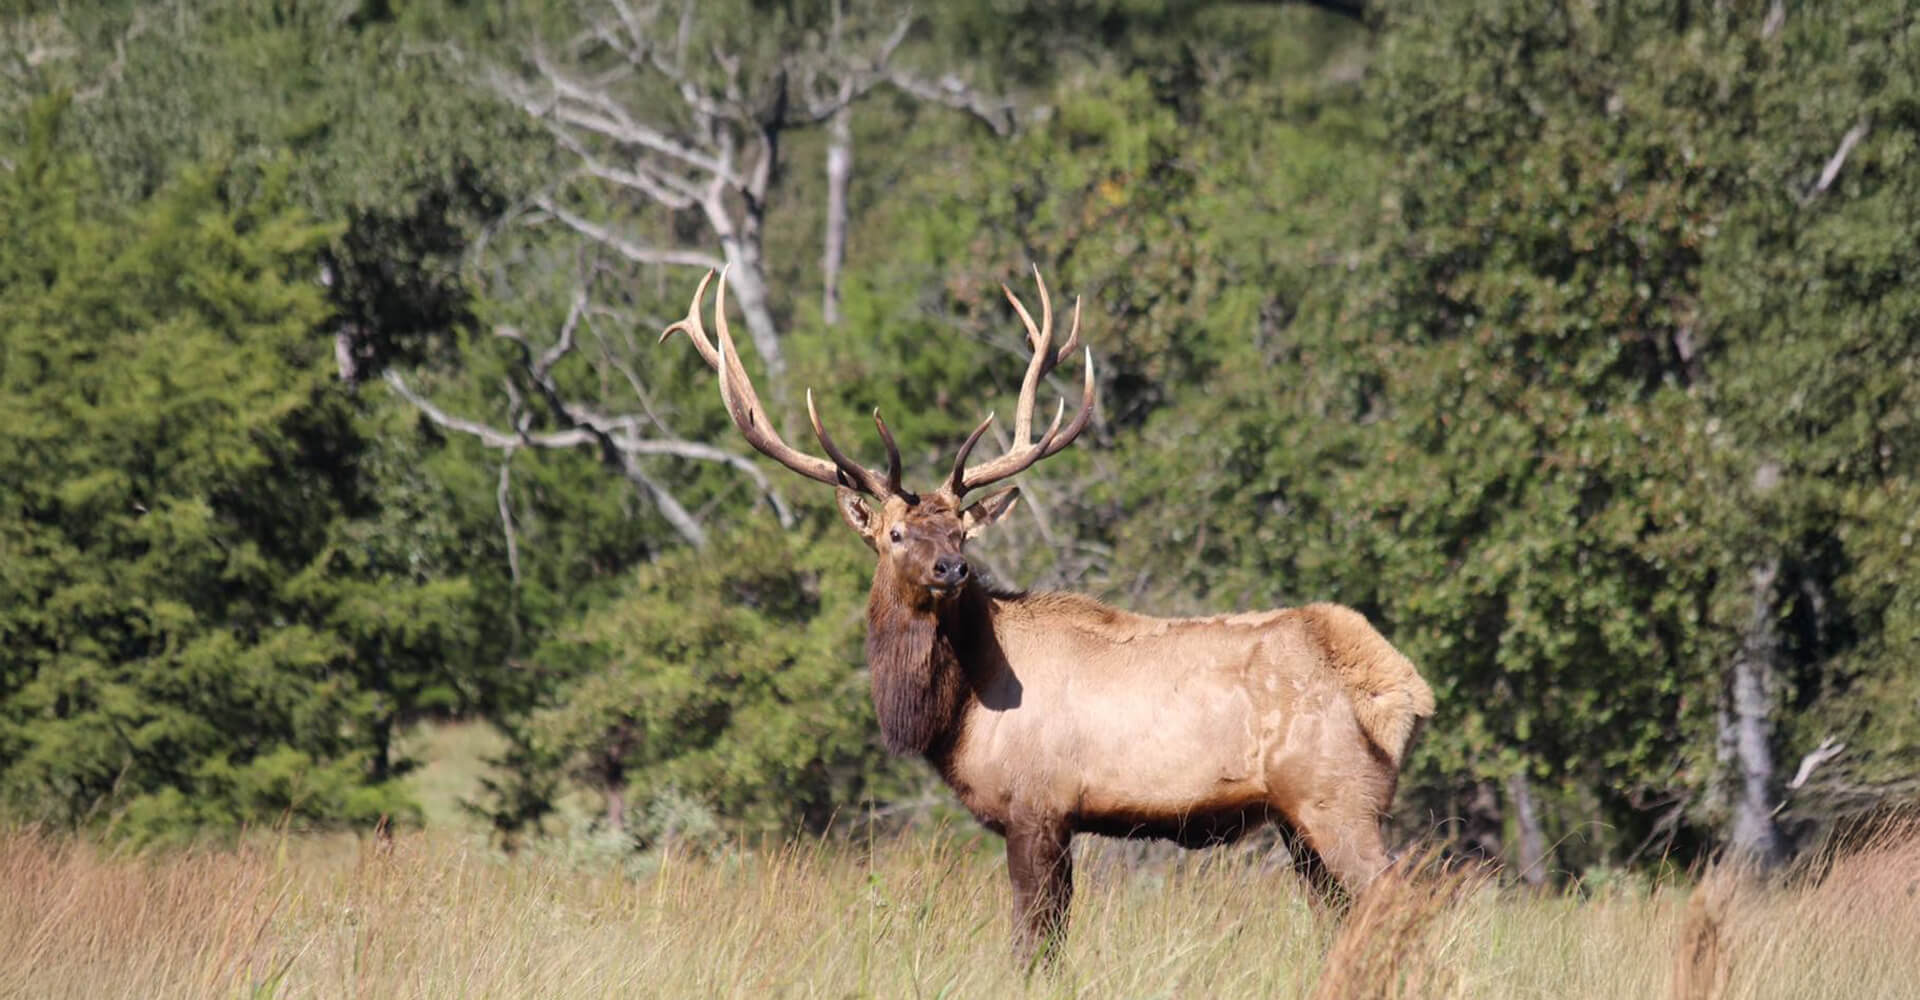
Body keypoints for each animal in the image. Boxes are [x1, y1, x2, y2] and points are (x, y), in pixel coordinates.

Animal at [662, 268, 1436, 964]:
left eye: (962, 532)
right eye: (896, 534)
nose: (953, 570)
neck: (957, 712)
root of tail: (1399, 688)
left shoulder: (1037, 806)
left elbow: (1033, 944)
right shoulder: (1055, 818)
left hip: (1339, 797)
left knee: (1399, 897)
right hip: (1298, 821)